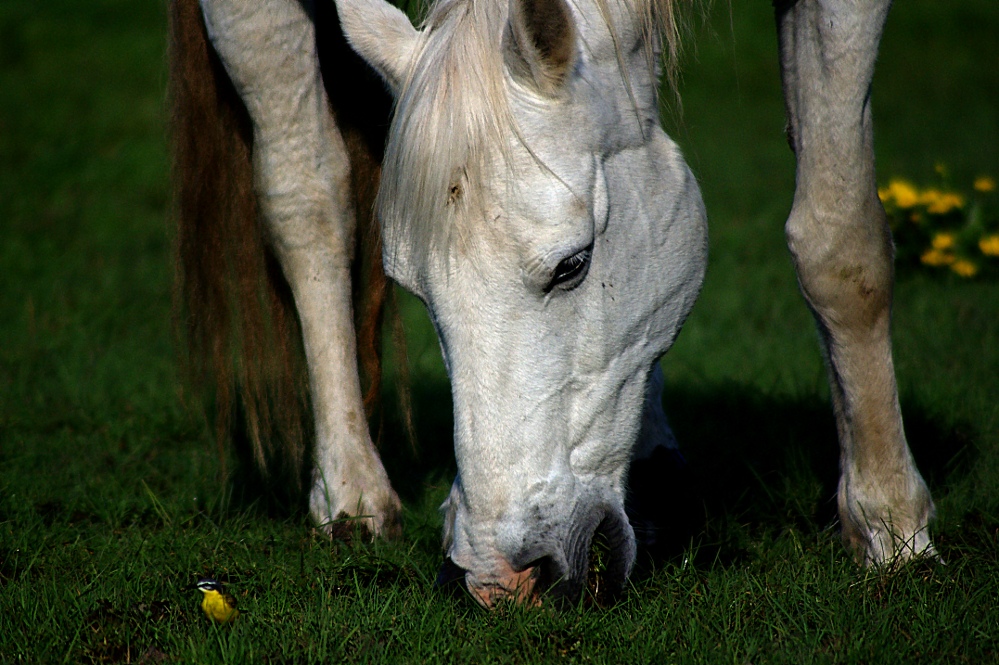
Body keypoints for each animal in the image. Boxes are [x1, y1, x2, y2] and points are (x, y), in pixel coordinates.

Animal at [170, 0, 936, 608]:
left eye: (572, 266)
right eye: (418, 291)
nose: (500, 581)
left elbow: (838, 240)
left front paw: (892, 525)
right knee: (307, 197)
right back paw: (349, 493)